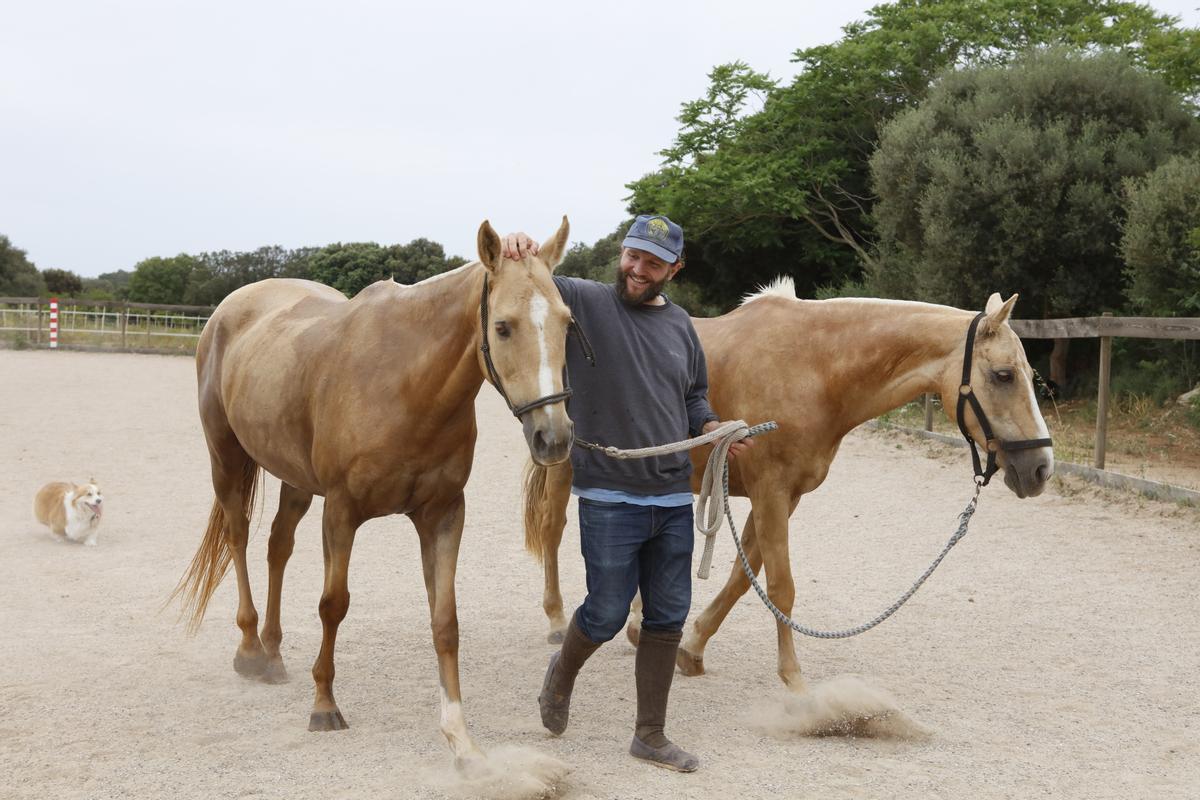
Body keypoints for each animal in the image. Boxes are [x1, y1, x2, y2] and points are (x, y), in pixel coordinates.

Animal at [172, 215, 576, 767]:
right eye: (503, 326)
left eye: (567, 322)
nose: (553, 437)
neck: (407, 384)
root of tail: (228, 311)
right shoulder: (341, 511)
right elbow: (333, 604)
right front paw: (324, 706)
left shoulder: (443, 514)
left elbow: (445, 620)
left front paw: (459, 735)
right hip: (227, 459)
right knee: (238, 538)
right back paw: (251, 648)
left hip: (295, 480)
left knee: (278, 547)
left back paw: (273, 651)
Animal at [525, 280, 1051, 690]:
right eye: (1003, 375)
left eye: (1028, 373)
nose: (1042, 468)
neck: (815, 368)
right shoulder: (771, 492)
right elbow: (780, 586)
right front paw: (794, 679)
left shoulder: (782, 495)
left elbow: (743, 577)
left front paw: (692, 648)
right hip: (566, 461)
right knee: (552, 529)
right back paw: (555, 619)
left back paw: (635, 624)